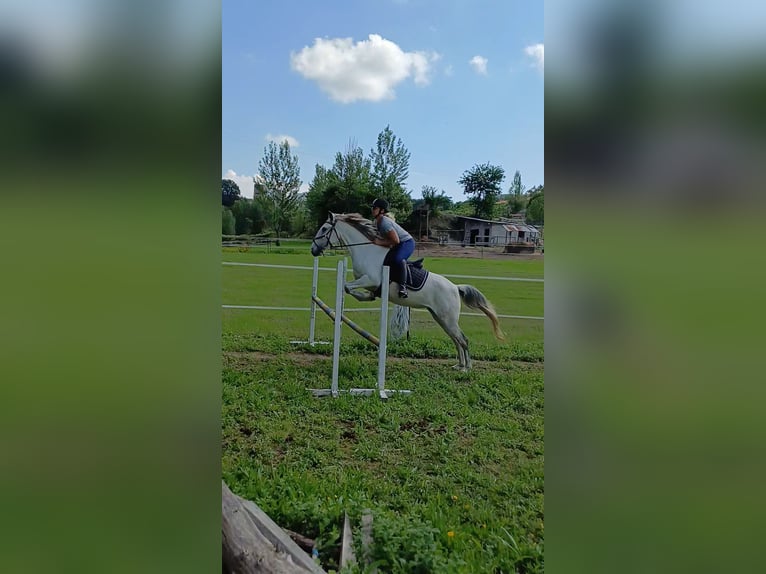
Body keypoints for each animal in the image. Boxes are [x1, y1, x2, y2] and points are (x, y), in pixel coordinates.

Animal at [310, 212, 504, 371]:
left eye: (325, 228)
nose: (313, 250)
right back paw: (459, 365)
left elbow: (347, 286)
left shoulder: (370, 280)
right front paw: (364, 298)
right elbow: (353, 290)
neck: (366, 251)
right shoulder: (369, 284)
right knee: (456, 339)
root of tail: (456, 288)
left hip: (447, 319)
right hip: (440, 318)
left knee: (463, 339)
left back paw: (467, 367)